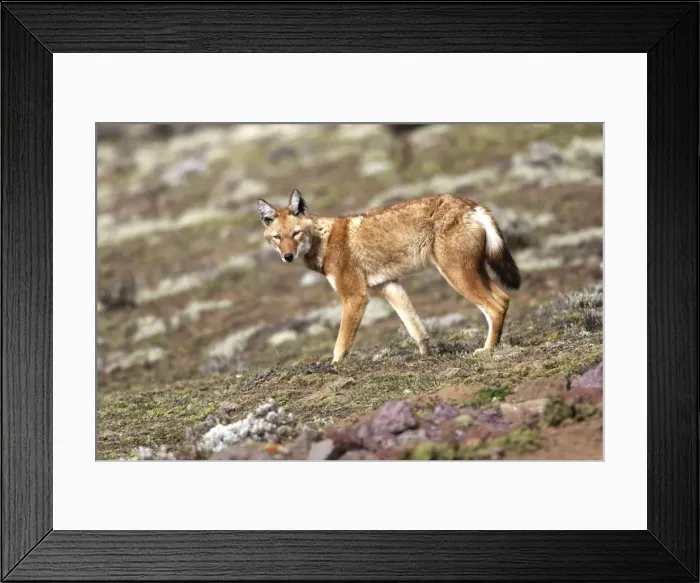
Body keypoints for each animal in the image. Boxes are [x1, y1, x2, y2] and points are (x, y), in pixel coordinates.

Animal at [256, 190, 521, 364]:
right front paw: (427, 356)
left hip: (457, 276)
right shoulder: (389, 286)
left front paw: (334, 367)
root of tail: (472, 204)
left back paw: (487, 350)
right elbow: (416, 329)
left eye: (296, 234)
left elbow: (341, 343)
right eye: (277, 238)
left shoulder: (355, 297)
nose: (288, 256)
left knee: (494, 307)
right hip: (474, 274)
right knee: (504, 299)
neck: (324, 239)